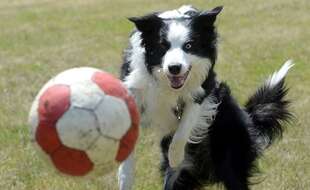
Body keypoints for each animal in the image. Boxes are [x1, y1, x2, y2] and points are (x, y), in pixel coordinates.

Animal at [118, 5, 294, 189]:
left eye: (188, 45)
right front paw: (125, 175)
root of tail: (249, 117)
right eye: (163, 46)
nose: (174, 68)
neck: (165, 82)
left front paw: (175, 157)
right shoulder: (133, 90)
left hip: (230, 155)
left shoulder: (204, 91)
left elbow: (183, 129)